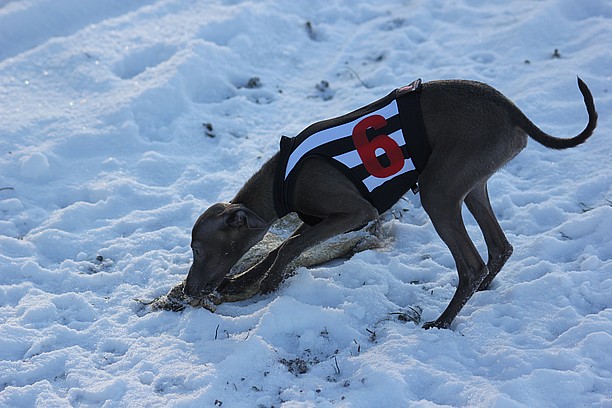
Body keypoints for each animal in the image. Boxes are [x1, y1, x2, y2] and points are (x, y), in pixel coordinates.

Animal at [184, 78, 596, 330]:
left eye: (198, 250)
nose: (188, 291)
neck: (282, 178)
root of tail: (510, 110)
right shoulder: (320, 218)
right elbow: (282, 246)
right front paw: (243, 280)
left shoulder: (355, 212)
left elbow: (288, 246)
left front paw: (268, 284)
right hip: (472, 186)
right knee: (500, 248)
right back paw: (478, 292)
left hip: (438, 191)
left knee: (472, 264)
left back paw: (442, 321)